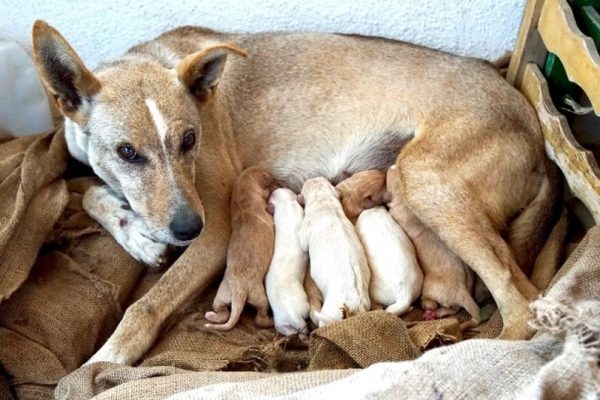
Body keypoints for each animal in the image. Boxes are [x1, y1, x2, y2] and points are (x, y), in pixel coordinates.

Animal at [203, 166, 276, 332]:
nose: (278, 181)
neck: (243, 203)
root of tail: (239, 291)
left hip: (222, 295)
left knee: (222, 312)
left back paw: (210, 316)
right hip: (259, 296)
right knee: (260, 319)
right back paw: (270, 321)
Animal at [296, 177, 368, 326]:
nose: (313, 177)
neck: (324, 199)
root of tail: (353, 308)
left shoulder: (305, 232)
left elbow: (303, 243)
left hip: (328, 313)